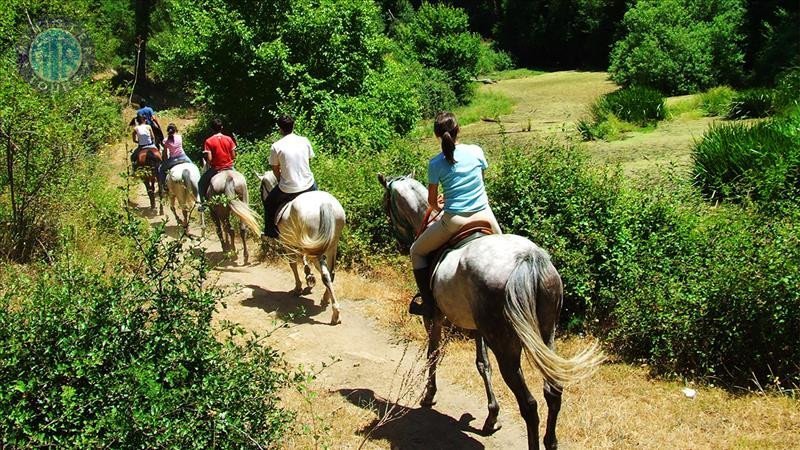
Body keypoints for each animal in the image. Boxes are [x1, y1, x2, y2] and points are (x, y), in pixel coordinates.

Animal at [256, 171, 344, 324]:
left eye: (262, 188)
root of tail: (325, 204)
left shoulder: (287, 243)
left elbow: (292, 264)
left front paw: (298, 287)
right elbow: (303, 260)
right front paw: (309, 275)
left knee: (325, 274)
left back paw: (335, 313)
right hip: (331, 245)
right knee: (331, 272)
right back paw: (326, 299)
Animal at [378, 173, 604, 450]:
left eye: (387, 205)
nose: (401, 243)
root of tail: (527, 259)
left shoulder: (435, 317)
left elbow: (434, 354)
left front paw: (429, 395)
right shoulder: (479, 328)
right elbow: (482, 363)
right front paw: (492, 416)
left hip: (505, 345)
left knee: (529, 404)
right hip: (545, 334)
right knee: (553, 391)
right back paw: (551, 441)